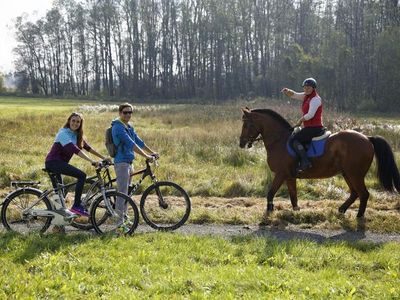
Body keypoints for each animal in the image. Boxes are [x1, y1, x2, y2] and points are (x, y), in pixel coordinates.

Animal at [239, 108, 398, 218]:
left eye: (246, 124)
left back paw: (358, 216)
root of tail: (367, 138)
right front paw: (296, 212)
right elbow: (293, 196)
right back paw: (341, 210)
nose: (241, 143)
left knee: (363, 194)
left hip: (355, 174)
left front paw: (269, 210)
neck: (279, 140)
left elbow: (271, 193)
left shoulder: (280, 174)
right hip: (347, 174)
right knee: (355, 193)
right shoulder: (289, 176)